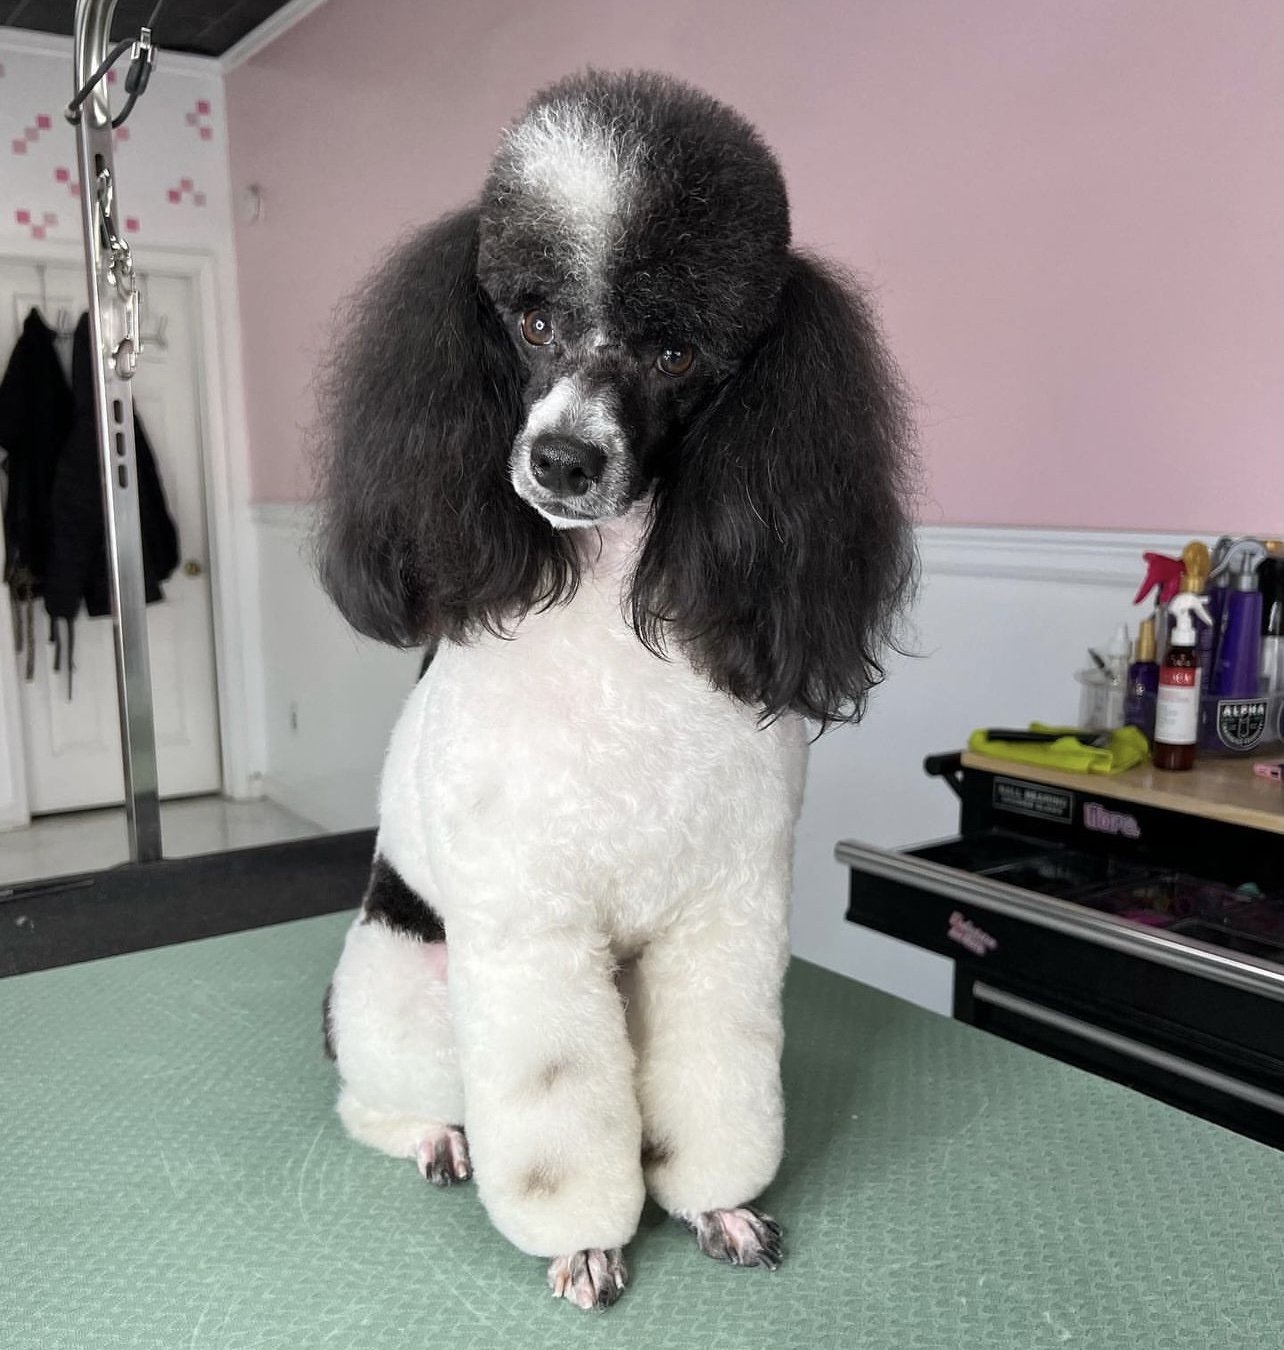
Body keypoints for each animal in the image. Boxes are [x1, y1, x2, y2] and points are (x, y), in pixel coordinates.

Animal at [315, 69, 915, 1311]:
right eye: (532, 321)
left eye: (679, 353)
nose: (564, 461)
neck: (606, 639)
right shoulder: (531, 929)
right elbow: (553, 1113)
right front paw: (586, 1238)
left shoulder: (724, 917)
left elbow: (718, 1076)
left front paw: (718, 1204)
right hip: (403, 993)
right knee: (376, 1102)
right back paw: (438, 1138)